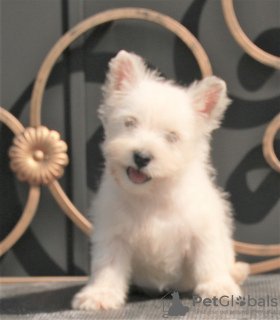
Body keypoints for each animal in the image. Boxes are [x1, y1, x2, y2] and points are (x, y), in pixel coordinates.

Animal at [72, 51, 249, 312]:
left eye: (172, 137)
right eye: (130, 123)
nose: (141, 157)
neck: (153, 194)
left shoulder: (203, 232)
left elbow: (209, 259)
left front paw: (218, 287)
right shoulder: (112, 235)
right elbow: (108, 266)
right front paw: (100, 294)